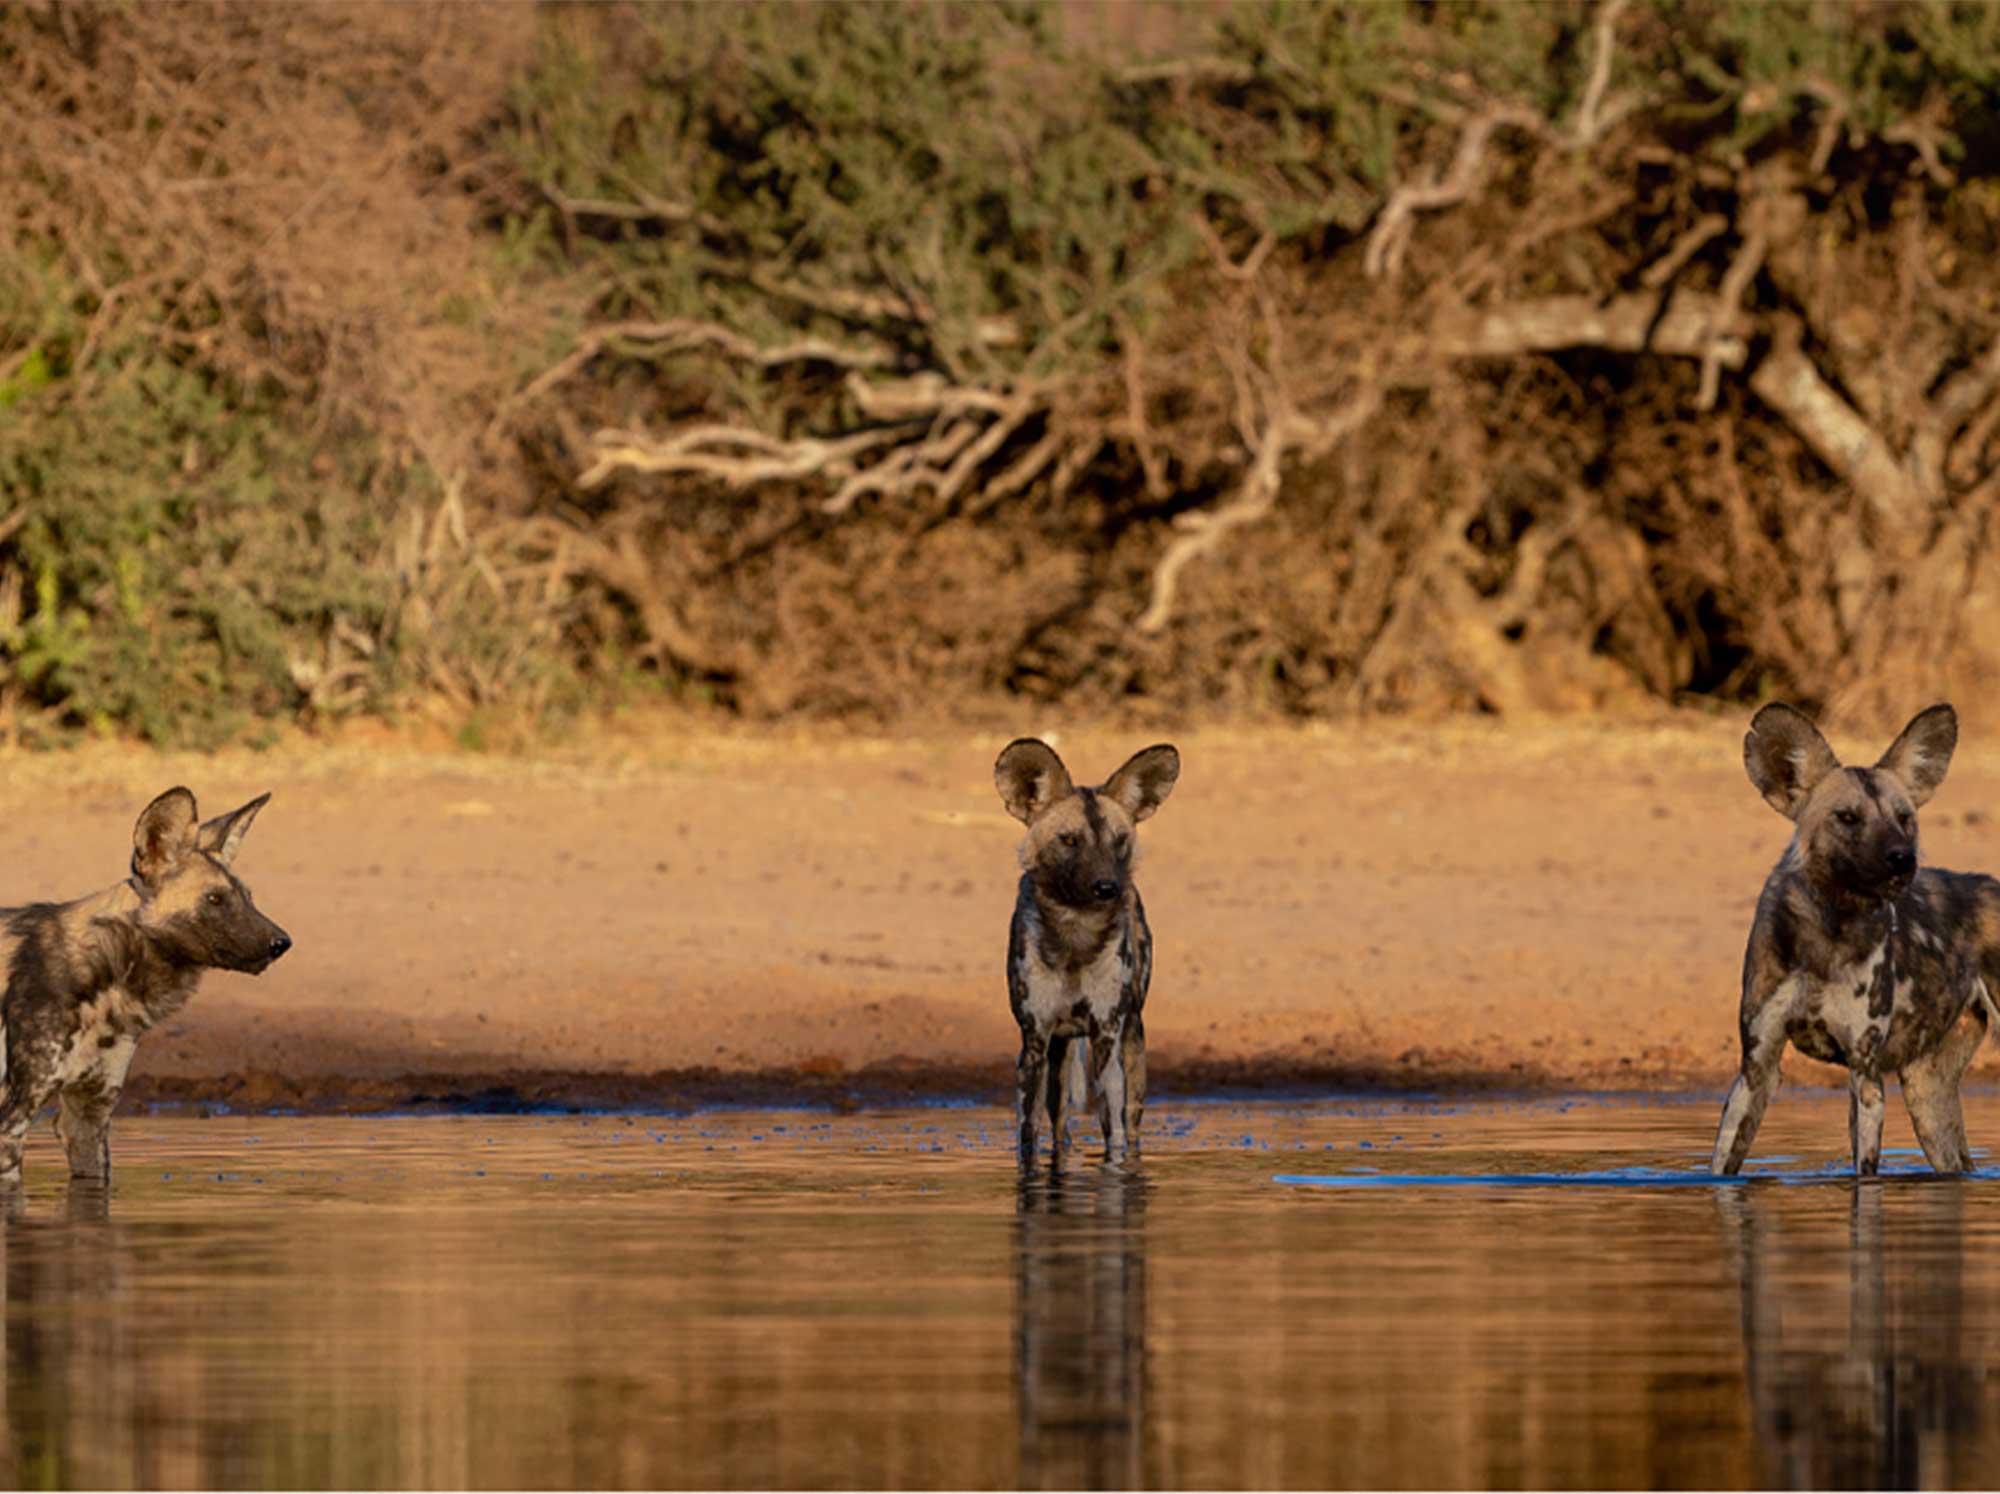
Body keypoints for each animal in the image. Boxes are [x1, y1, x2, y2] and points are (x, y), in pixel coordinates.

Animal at [996, 744, 1176, 1176]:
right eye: (1069, 840)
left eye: (1120, 840)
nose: (1107, 887)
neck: (1075, 935)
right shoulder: (1034, 1044)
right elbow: (1028, 1137)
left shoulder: (1107, 1038)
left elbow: (1115, 1136)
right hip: (1058, 1059)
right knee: (1059, 1125)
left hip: (1131, 1045)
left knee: (1131, 1124)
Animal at [1704, 704, 2000, 1184]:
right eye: (1847, 817)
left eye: (1904, 818)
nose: (1902, 858)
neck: (1829, 932)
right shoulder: (1755, 1071)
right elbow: (1721, 1165)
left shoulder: (1865, 1077)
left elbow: (1865, 1174)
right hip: (1928, 1101)